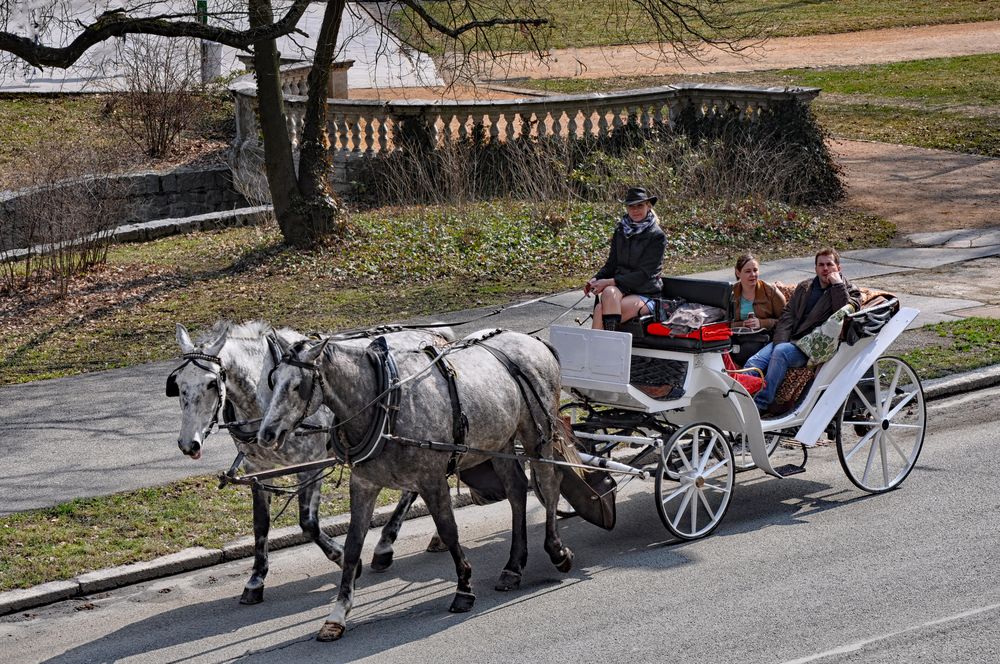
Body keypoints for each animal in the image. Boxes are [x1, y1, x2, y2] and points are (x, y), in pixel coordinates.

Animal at [170, 322, 452, 608]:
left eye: (210, 383)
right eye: (178, 384)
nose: (188, 444)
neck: (263, 400)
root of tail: (435, 333)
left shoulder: (310, 465)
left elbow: (308, 523)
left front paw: (344, 559)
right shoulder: (257, 470)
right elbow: (260, 524)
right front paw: (256, 579)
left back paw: (391, 543)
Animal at [258, 330, 576, 640]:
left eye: (297, 385)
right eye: (273, 381)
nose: (266, 434)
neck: (385, 401)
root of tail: (533, 340)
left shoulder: (432, 480)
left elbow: (449, 531)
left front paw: (463, 588)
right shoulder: (363, 485)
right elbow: (352, 545)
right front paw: (338, 614)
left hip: (537, 434)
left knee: (549, 484)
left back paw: (557, 549)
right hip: (500, 442)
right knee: (517, 490)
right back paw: (513, 567)